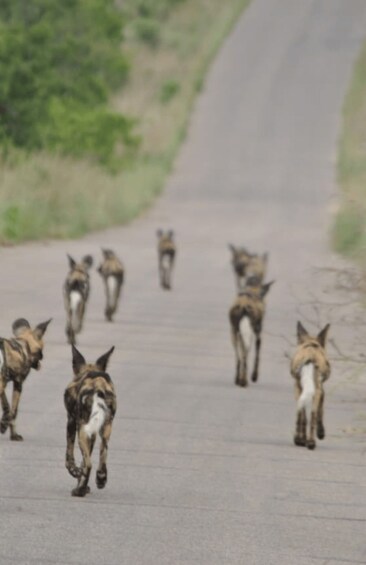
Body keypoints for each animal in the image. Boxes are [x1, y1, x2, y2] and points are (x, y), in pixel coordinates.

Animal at [64, 342, 116, 496]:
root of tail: (98, 387)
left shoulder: (71, 421)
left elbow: (69, 457)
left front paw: (75, 473)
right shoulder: (92, 432)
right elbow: (83, 460)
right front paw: (84, 484)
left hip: (82, 430)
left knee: (88, 464)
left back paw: (79, 491)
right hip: (106, 428)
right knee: (102, 455)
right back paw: (100, 480)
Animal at [292, 322, 332, 450]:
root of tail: (309, 357)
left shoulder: (300, 388)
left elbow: (303, 417)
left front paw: (302, 439)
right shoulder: (321, 391)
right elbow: (320, 413)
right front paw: (321, 433)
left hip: (299, 391)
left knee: (301, 413)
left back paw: (300, 440)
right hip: (316, 391)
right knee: (313, 414)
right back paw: (310, 442)